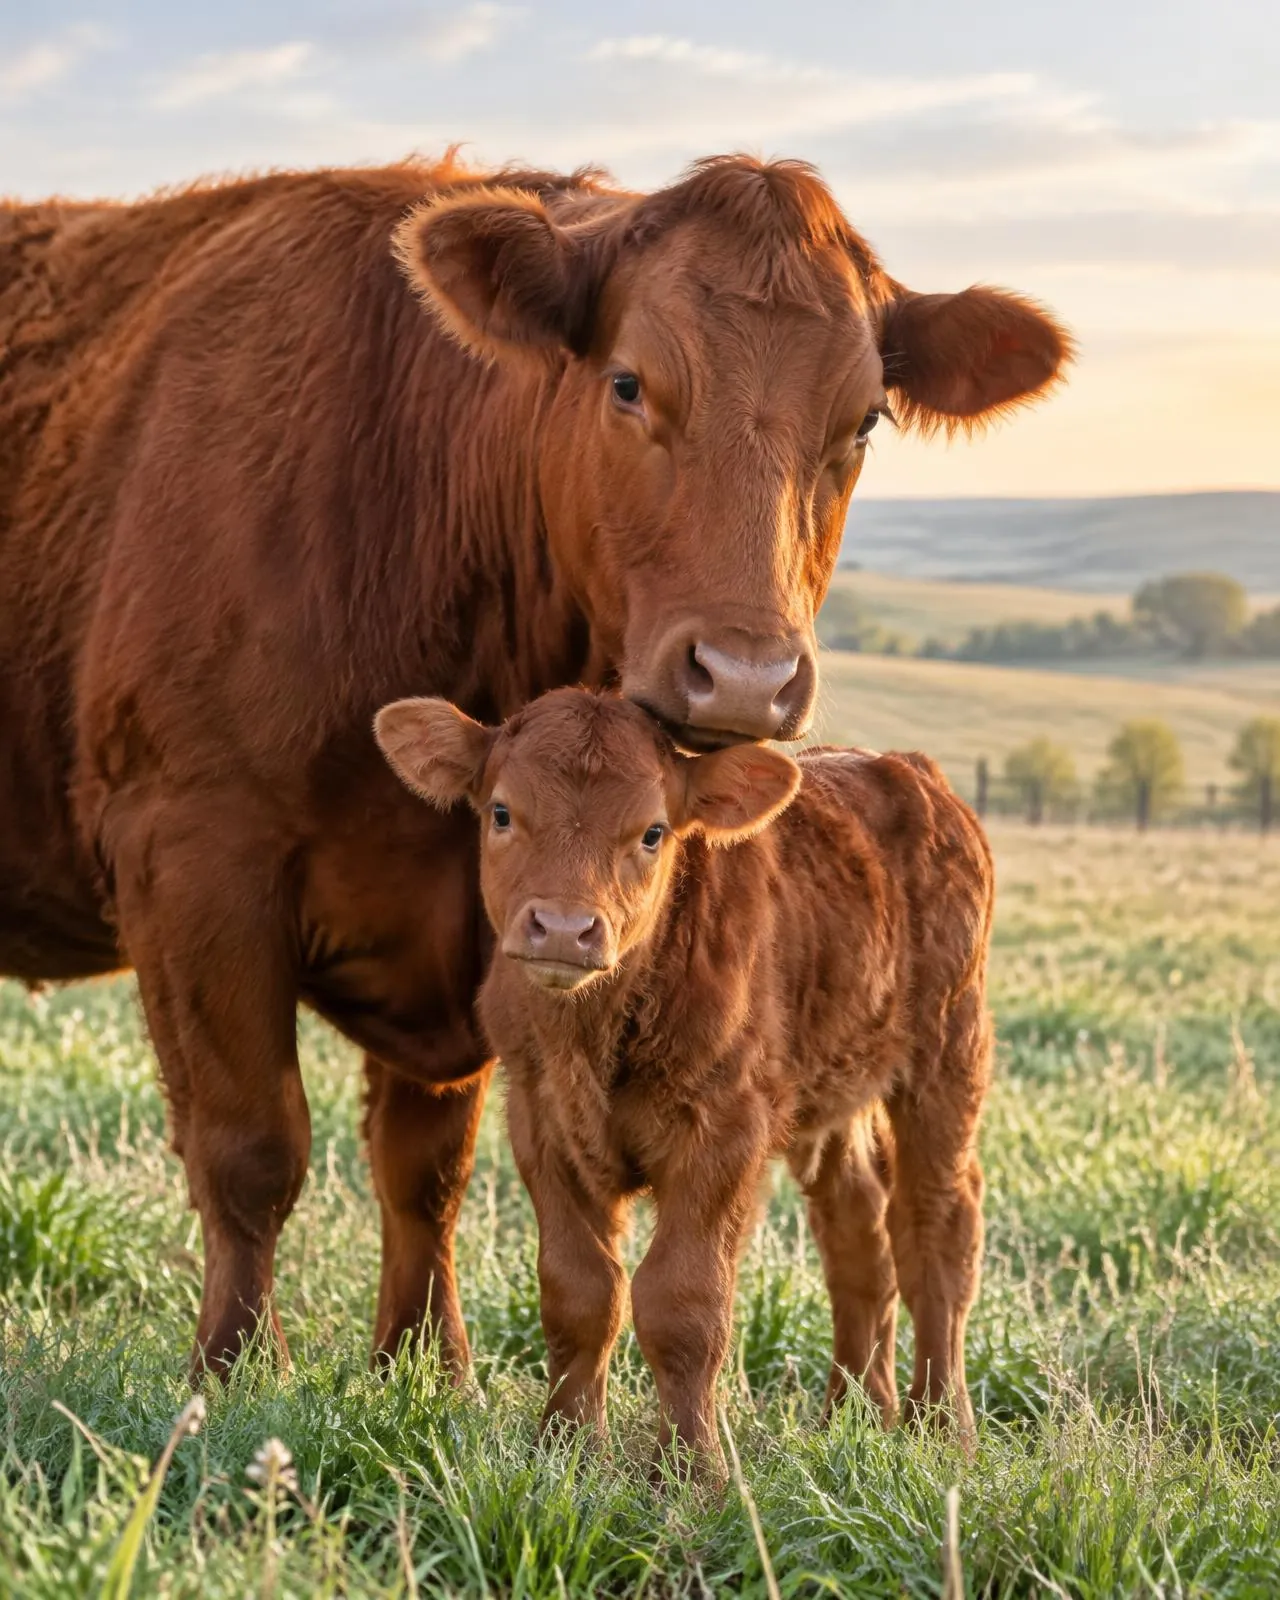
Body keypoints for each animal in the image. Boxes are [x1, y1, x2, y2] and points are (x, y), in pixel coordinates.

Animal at [0, 153, 1060, 1380]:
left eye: (865, 421)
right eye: (629, 385)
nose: (745, 678)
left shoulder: (475, 935)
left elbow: (427, 1168)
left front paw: (425, 1366)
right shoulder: (192, 857)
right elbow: (250, 1150)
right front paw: (232, 1370)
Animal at [374, 687, 995, 1473]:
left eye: (653, 832)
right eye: (502, 812)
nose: (564, 928)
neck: (597, 1032)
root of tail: (909, 771)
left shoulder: (725, 1130)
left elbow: (682, 1303)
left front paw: (691, 1472)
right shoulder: (541, 1122)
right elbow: (580, 1292)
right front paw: (567, 1447)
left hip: (948, 1054)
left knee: (936, 1233)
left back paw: (942, 1426)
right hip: (834, 1091)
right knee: (859, 1235)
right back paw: (853, 1413)